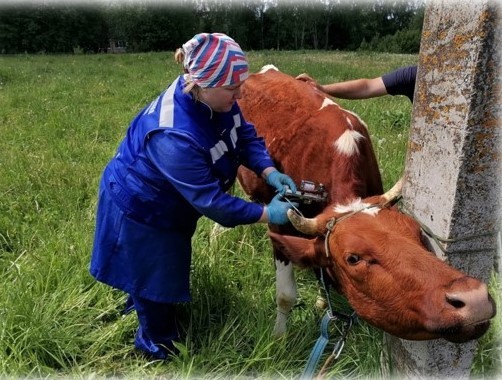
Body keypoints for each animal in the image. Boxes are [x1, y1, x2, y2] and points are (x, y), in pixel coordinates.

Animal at [237, 66, 496, 344]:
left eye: (418, 235)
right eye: (353, 258)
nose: (474, 298)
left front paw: (321, 299)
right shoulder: (279, 224)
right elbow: (286, 295)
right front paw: (279, 337)